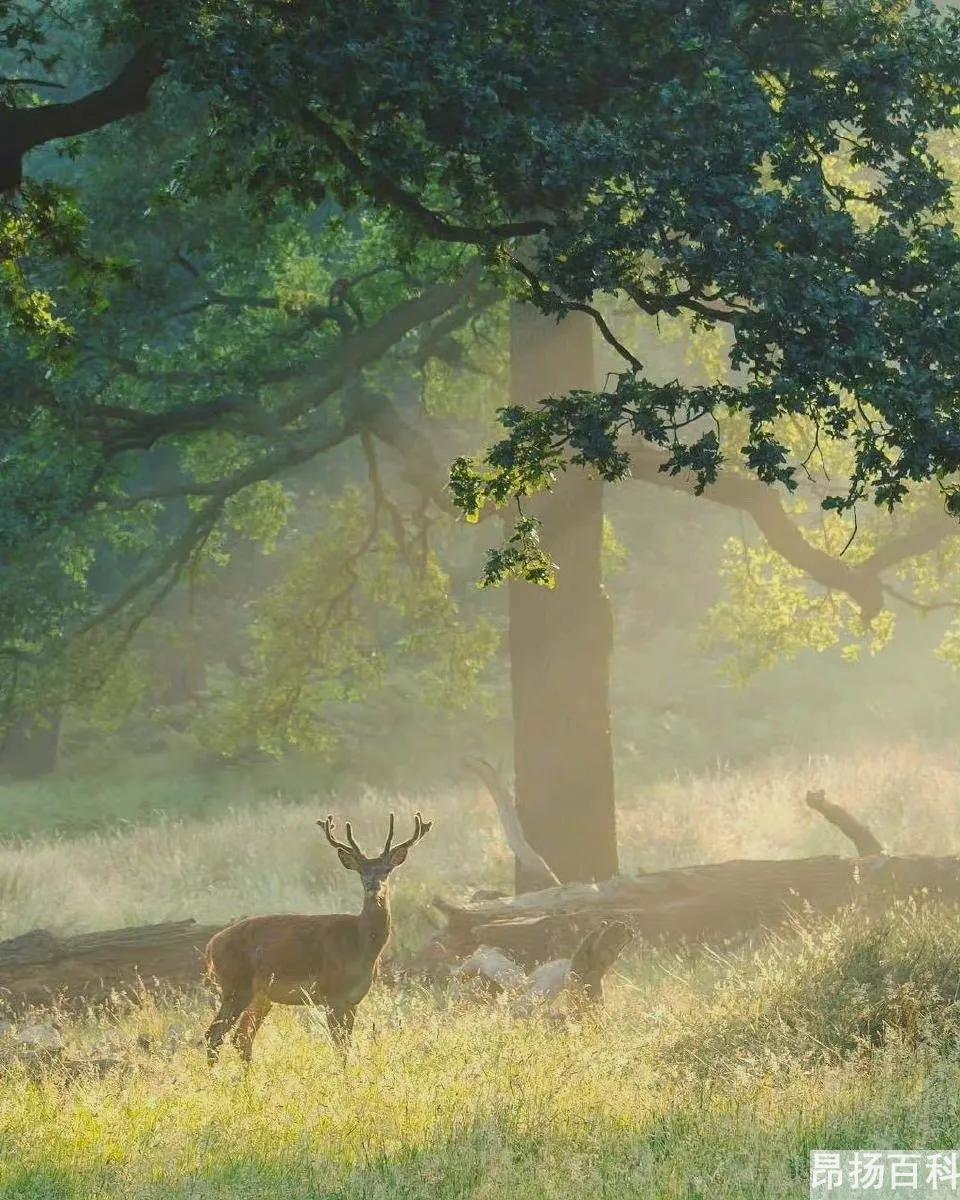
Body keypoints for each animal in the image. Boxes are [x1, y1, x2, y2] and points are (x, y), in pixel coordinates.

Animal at [205, 816, 432, 1060]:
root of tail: (212, 944)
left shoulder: (353, 1000)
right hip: (236, 985)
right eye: (361, 871)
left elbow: (346, 1045)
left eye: (387, 870)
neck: (360, 943)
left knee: (241, 1039)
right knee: (214, 1036)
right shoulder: (332, 994)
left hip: (260, 996)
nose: (373, 886)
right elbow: (340, 1047)